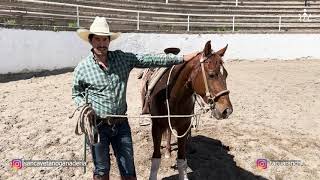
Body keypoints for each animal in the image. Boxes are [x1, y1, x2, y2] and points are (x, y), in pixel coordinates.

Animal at [147, 40, 232, 180]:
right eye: (211, 75)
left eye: (226, 74)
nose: (227, 110)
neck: (173, 97)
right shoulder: (157, 127)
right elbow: (156, 158)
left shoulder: (183, 126)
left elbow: (182, 159)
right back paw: (168, 151)